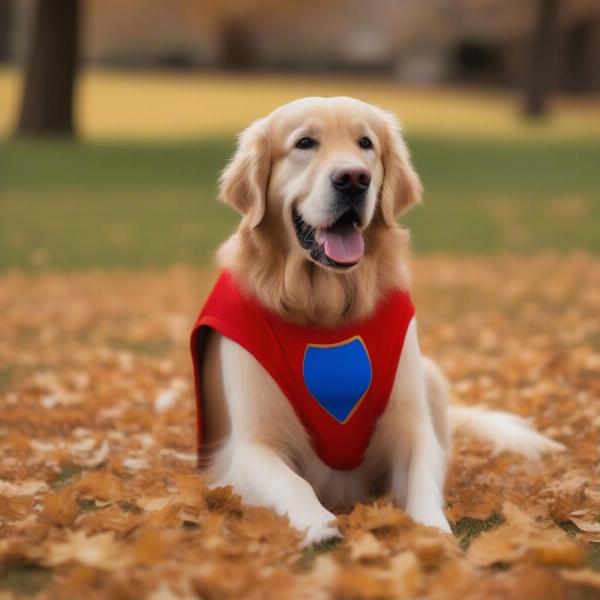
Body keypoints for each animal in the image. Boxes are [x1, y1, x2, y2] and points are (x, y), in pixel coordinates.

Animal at [195, 97, 564, 544]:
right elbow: (292, 482)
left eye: (365, 143)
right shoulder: (250, 444)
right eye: (305, 143)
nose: (354, 179)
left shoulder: (411, 424)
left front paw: (432, 529)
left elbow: (422, 478)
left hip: (431, 375)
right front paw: (317, 522)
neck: (326, 307)